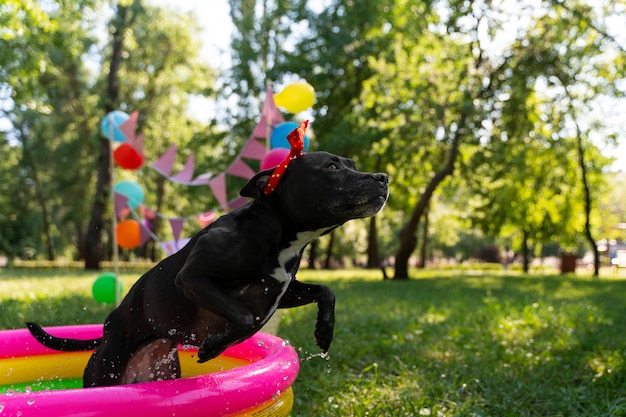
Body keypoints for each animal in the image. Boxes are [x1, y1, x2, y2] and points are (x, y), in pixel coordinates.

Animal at [28, 152, 386, 386]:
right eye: (331, 167)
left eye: (353, 166)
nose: (382, 178)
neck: (272, 231)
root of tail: (105, 329)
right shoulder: (192, 278)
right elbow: (242, 316)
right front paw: (214, 347)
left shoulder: (281, 289)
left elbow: (327, 290)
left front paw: (324, 331)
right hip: (105, 371)